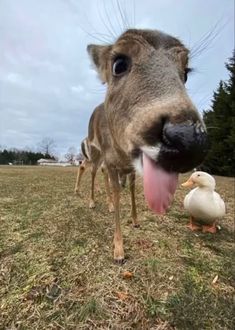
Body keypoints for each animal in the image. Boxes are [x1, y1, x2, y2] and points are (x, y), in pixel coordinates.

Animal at [86, 29, 207, 266]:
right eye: (118, 64)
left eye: (186, 73)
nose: (188, 139)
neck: (122, 156)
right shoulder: (112, 161)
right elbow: (117, 192)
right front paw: (118, 251)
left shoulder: (129, 168)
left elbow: (132, 190)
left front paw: (135, 220)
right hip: (94, 150)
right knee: (93, 171)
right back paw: (93, 202)